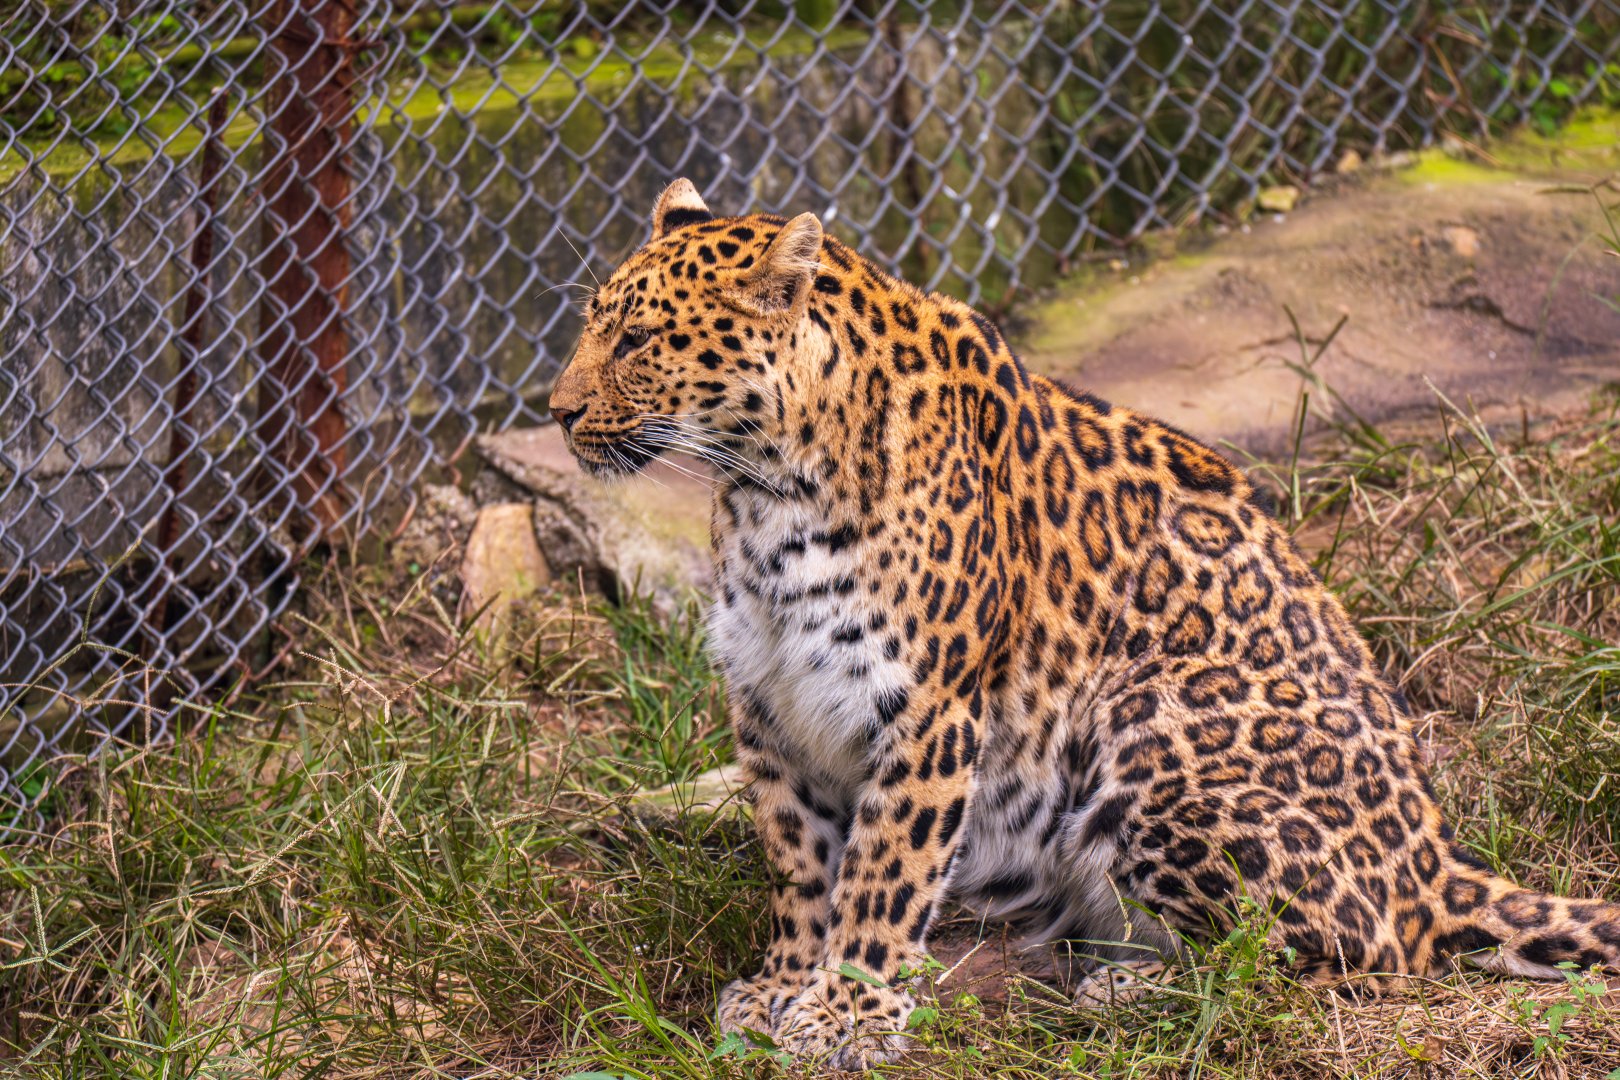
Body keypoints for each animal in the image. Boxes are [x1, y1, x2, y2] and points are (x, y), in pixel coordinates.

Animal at [547, 178, 1620, 1071]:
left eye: (636, 342)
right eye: (593, 324)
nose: (554, 413)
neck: (765, 490)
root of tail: (1439, 868)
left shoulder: (926, 709)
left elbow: (882, 874)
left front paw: (844, 1012)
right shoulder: (772, 705)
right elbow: (800, 868)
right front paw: (780, 989)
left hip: (1145, 731)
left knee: (1334, 957)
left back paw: (1125, 990)